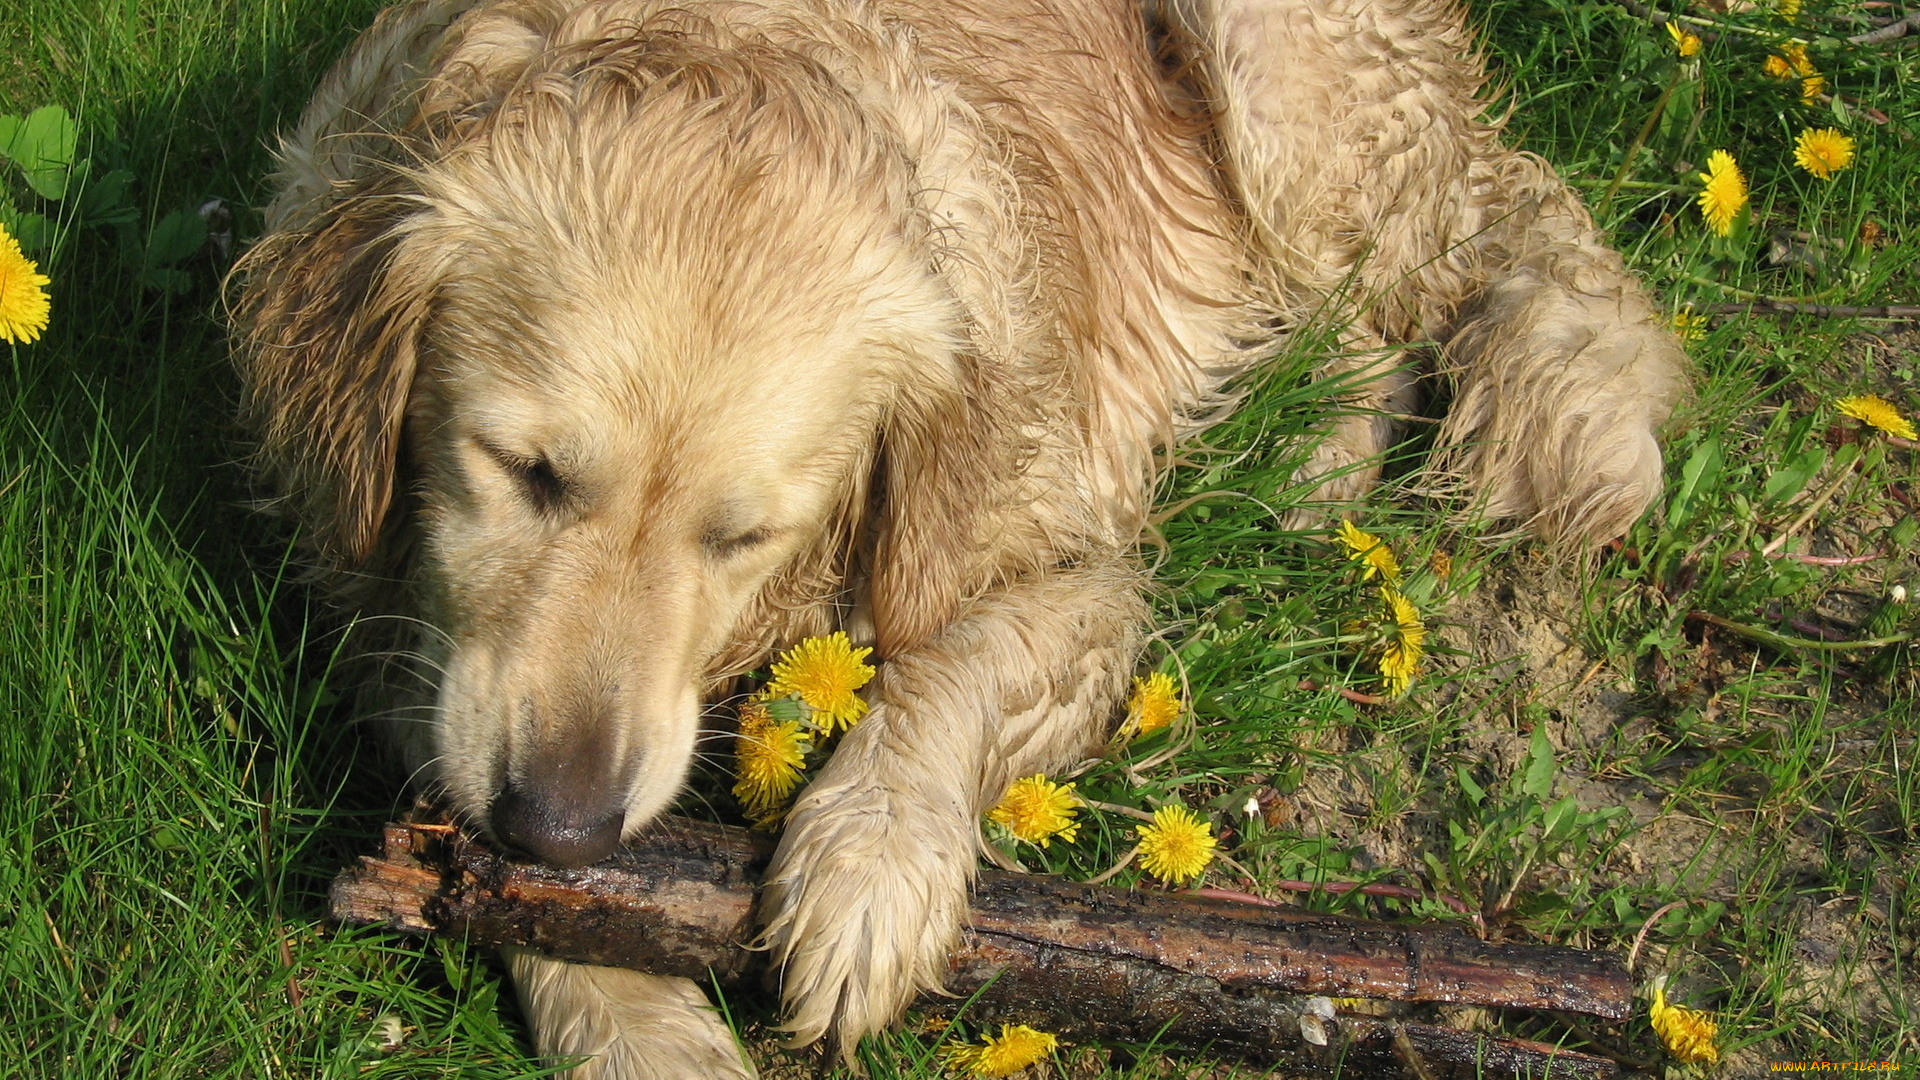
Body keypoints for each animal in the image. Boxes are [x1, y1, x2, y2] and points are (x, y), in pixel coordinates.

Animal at [232, 0, 1689, 1068]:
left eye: (742, 537)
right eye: (523, 471)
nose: (563, 826)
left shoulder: (1077, 574)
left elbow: (955, 663)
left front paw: (871, 864)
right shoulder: (379, 599)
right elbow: (466, 812)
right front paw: (639, 1020)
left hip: (1296, 116)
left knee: (1481, 244)